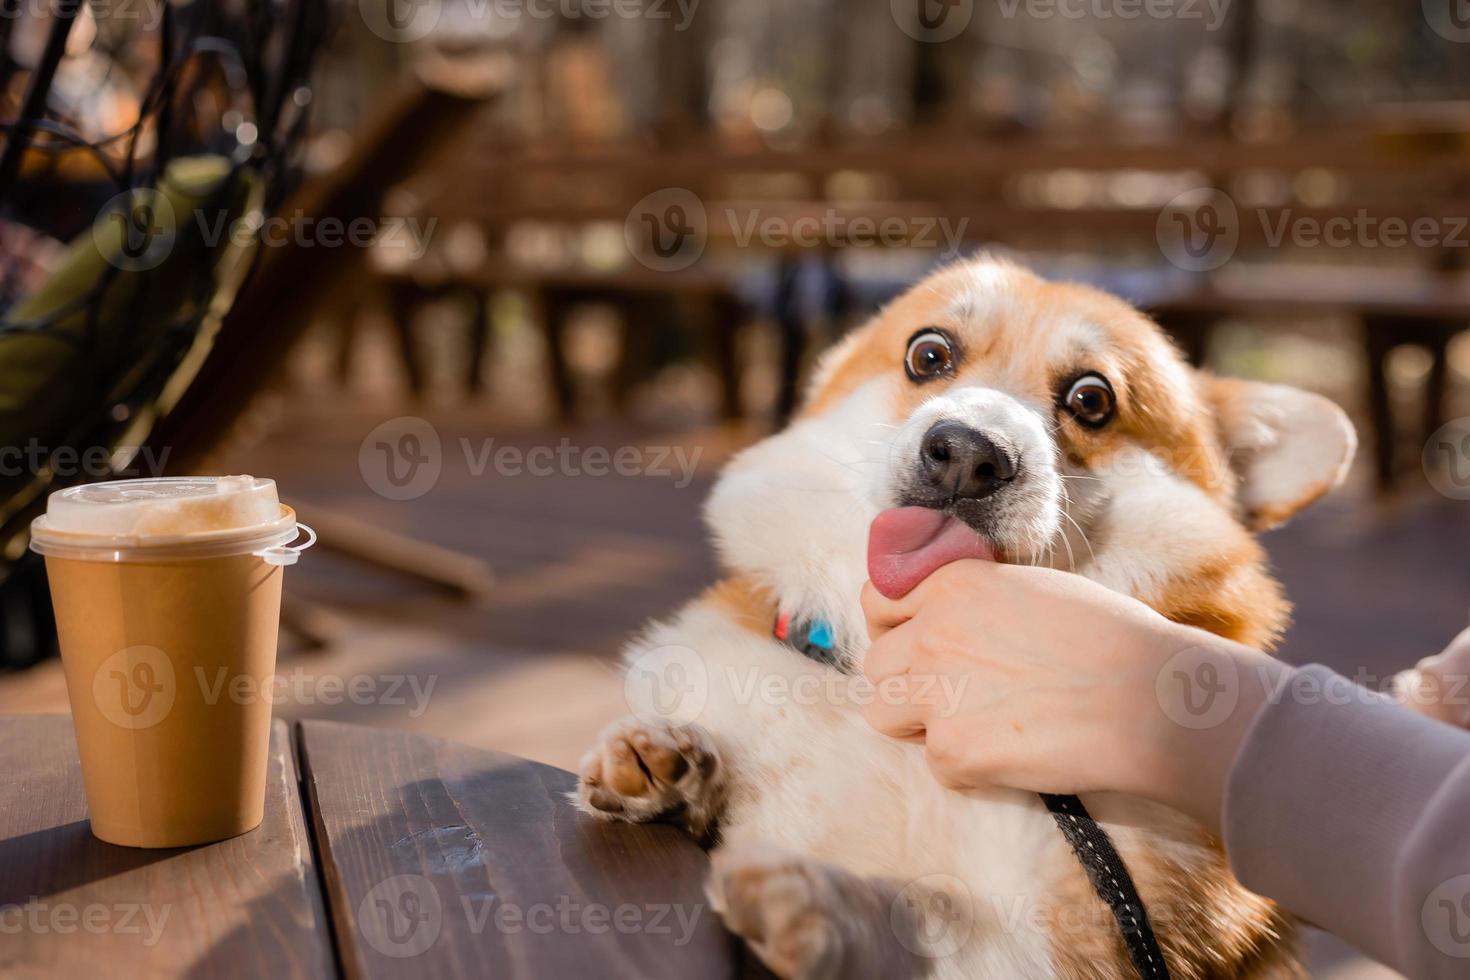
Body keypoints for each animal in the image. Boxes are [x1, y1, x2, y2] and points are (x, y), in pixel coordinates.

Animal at [573, 257, 1352, 975]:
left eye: (1092, 399)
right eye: (929, 354)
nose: (967, 454)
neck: (883, 690)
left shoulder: (1072, 943)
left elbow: (922, 913)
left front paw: (820, 903)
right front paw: (670, 768)